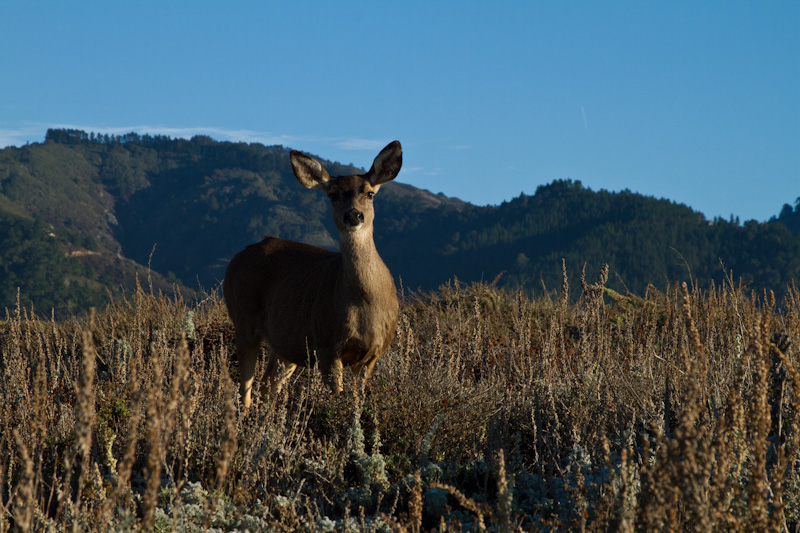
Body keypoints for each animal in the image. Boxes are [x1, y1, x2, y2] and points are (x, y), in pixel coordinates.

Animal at [223, 140, 400, 408]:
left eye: (370, 193)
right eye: (333, 195)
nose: (353, 215)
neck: (365, 302)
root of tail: (235, 258)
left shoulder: (372, 354)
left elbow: (358, 401)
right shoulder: (326, 345)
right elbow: (337, 398)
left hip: (286, 343)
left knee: (269, 382)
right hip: (243, 319)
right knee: (246, 387)